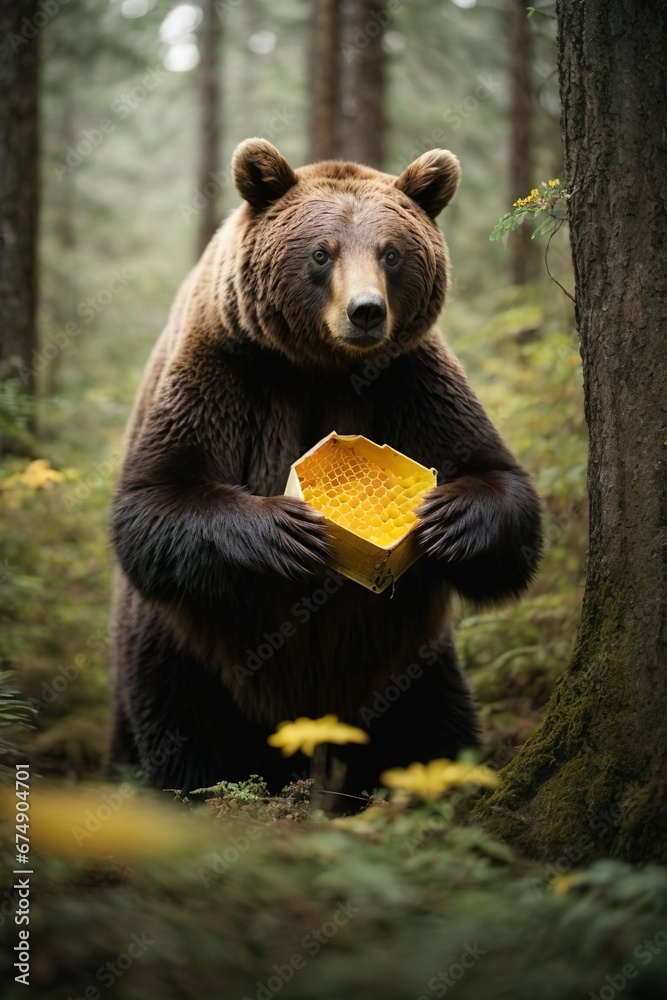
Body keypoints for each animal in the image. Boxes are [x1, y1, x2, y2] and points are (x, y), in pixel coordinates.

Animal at [108, 138, 542, 797]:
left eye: (391, 252)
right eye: (321, 252)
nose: (365, 311)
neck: (323, 367)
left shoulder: (411, 381)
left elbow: (500, 485)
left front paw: (449, 517)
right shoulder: (224, 369)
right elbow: (156, 496)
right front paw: (288, 531)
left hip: (407, 660)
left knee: (431, 729)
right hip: (187, 652)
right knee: (184, 738)